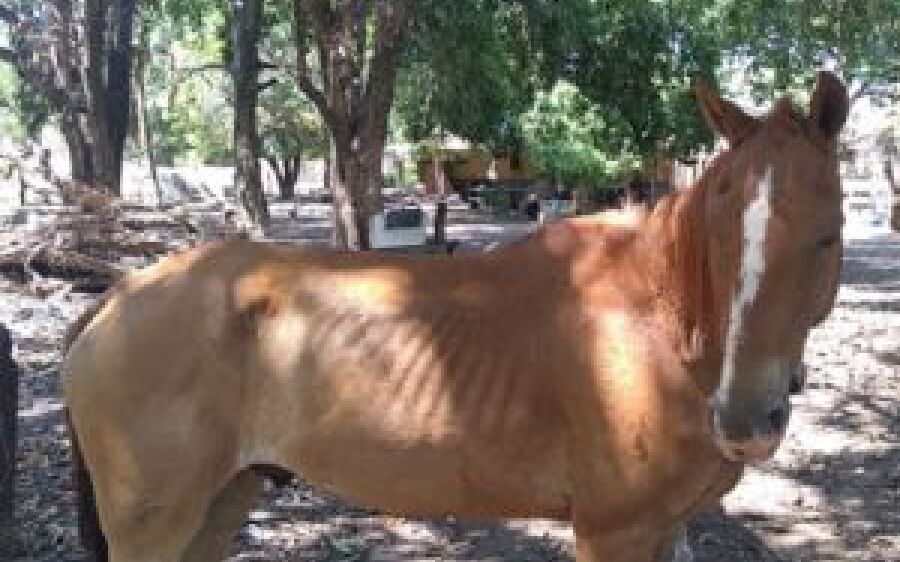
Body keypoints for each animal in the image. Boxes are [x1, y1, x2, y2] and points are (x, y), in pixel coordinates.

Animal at [63, 71, 849, 562]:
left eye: (826, 235)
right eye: (718, 234)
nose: (744, 419)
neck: (651, 323)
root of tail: (116, 300)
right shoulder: (612, 533)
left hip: (222, 500)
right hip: (157, 525)